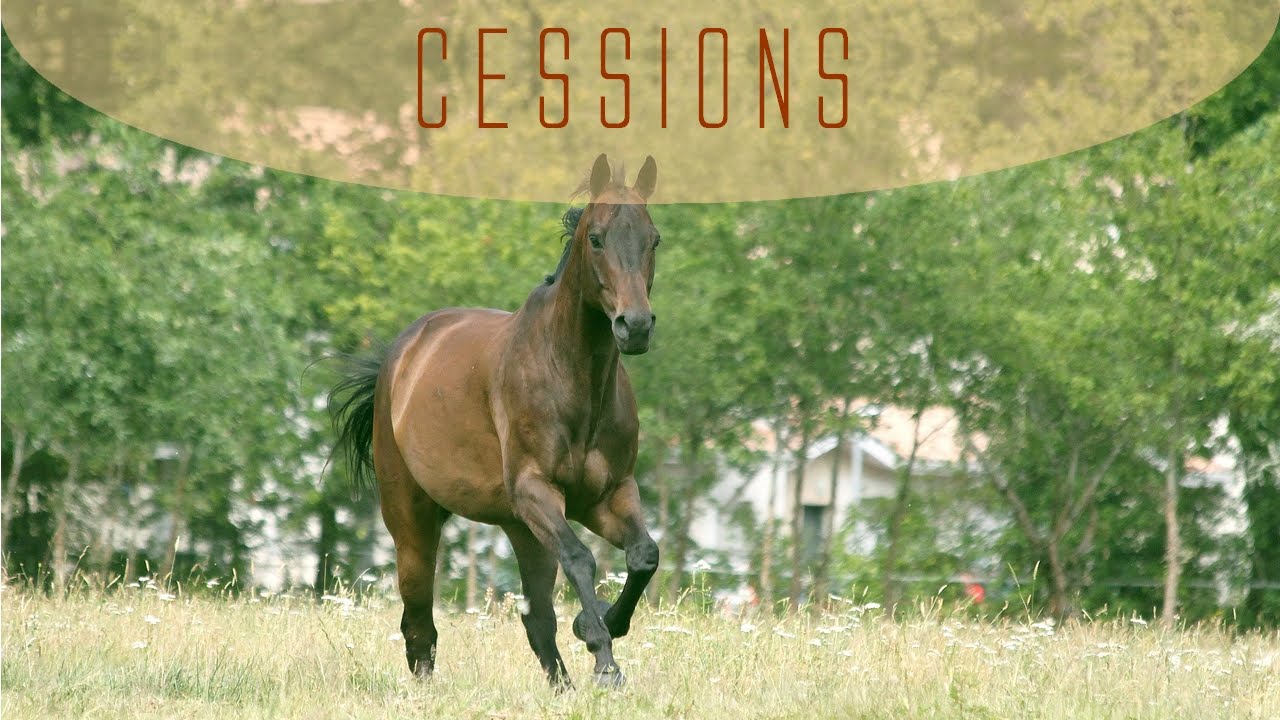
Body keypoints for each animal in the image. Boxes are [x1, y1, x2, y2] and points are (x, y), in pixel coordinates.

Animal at [328, 154, 662, 689]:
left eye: (654, 239)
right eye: (596, 238)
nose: (635, 327)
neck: (571, 378)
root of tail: (398, 358)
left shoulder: (607, 495)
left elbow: (643, 555)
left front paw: (605, 626)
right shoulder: (536, 491)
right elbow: (581, 558)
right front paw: (604, 656)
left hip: (522, 529)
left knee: (537, 619)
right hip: (412, 518)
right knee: (418, 619)